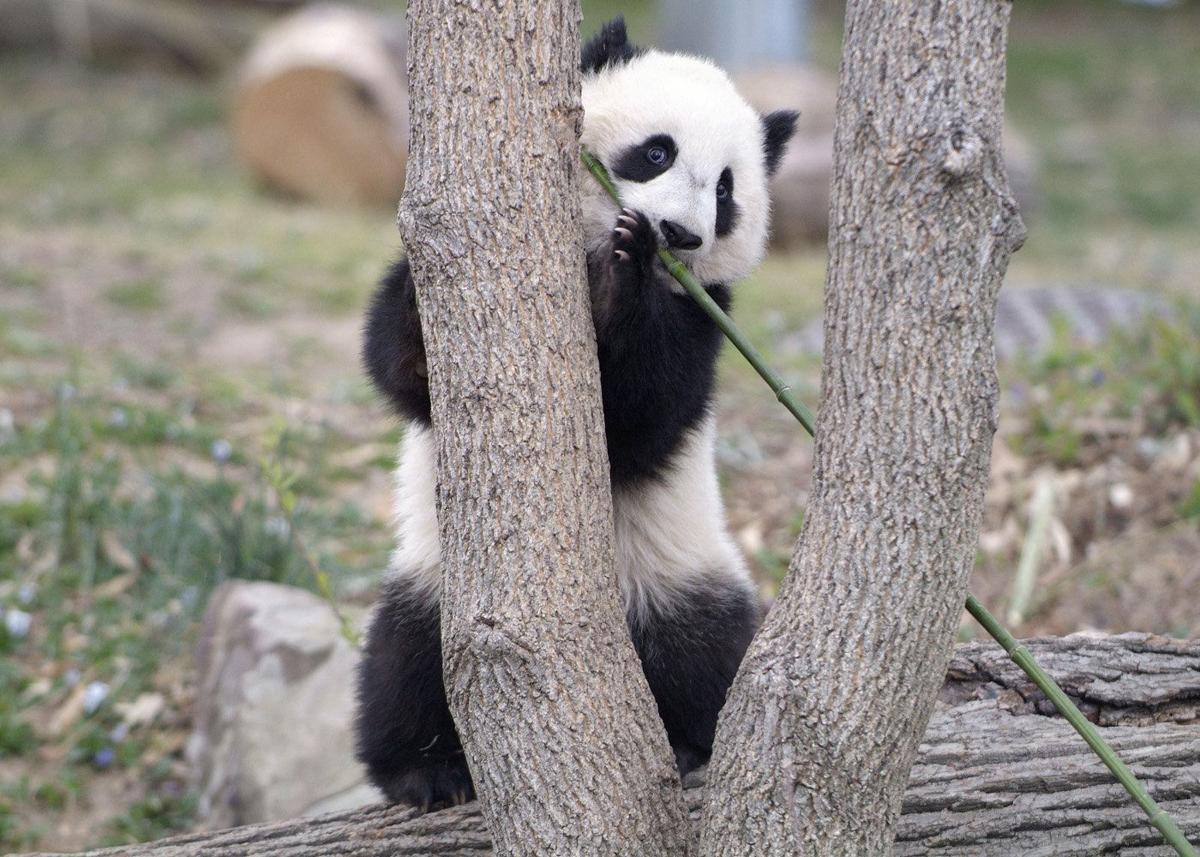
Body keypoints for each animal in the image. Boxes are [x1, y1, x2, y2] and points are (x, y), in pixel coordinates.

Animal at [355, 17, 798, 809]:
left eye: (726, 191)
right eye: (657, 151)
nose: (679, 234)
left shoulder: (705, 319)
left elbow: (643, 422)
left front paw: (628, 274)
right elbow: (400, 370)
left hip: (678, 574)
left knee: (705, 651)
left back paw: (690, 745)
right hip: (435, 581)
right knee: (403, 661)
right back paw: (422, 769)